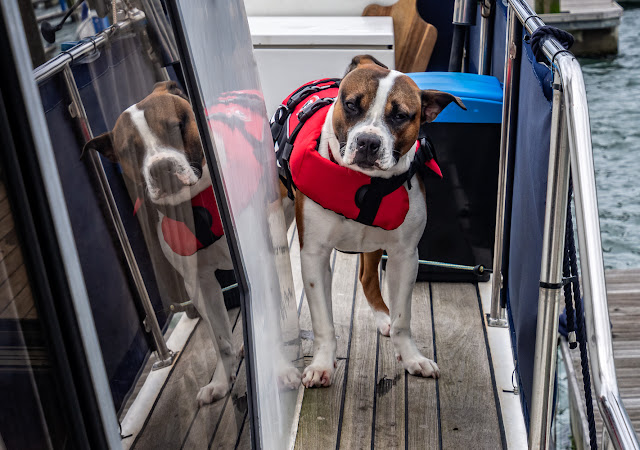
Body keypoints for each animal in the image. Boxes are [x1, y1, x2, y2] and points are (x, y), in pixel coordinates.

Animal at [282, 55, 468, 386]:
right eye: (351, 105)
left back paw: (384, 318)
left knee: (368, 279)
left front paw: (411, 357)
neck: (364, 185)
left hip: (373, 244)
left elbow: (403, 318)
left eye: (401, 116)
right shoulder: (314, 255)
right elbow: (323, 322)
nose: (368, 141)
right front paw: (322, 364)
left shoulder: (405, 255)